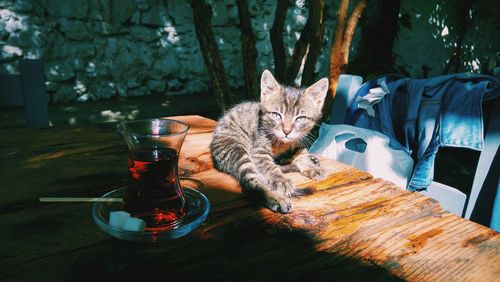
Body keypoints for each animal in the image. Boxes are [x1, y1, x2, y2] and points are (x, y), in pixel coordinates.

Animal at [210, 70, 328, 214]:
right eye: (276, 115)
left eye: (300, 118)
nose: (286, 131)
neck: (283, 144)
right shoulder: (259, 151)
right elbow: (269, 166)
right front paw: (280, 180)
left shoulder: (297, 141)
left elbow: (302, 153)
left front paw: (311, 167)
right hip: (236, 149)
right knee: (253, 181)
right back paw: (275, 198)